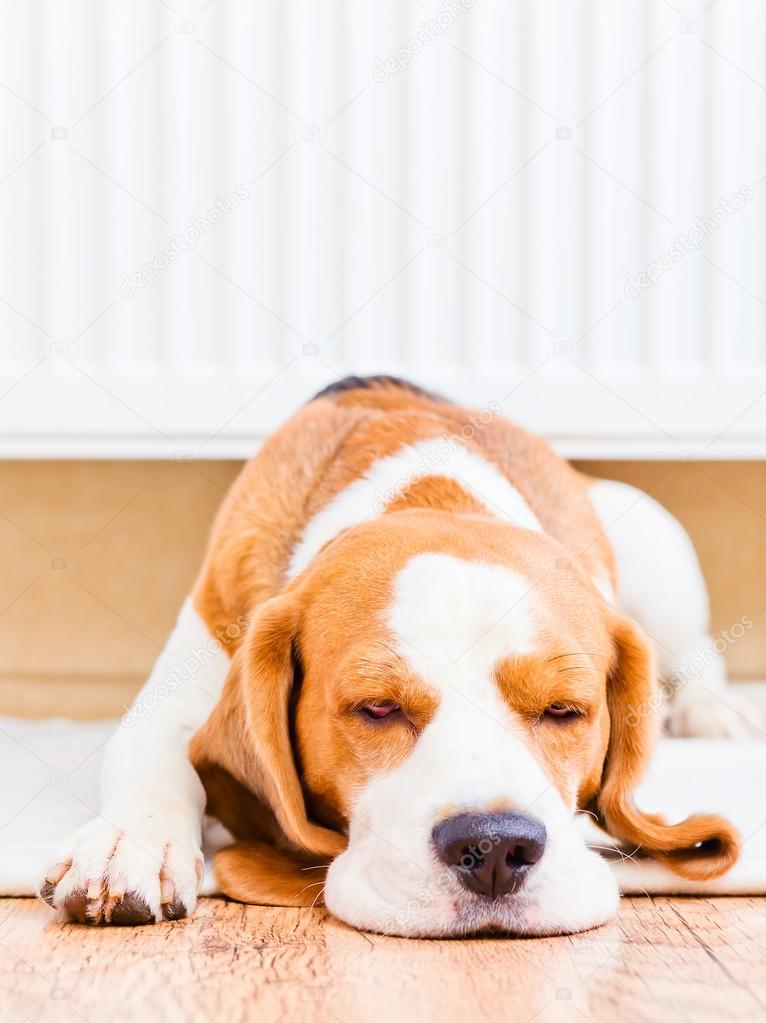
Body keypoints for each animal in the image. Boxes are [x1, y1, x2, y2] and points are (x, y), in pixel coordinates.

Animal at [38, 374, 744, 937]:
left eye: (564, 711)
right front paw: (130, 843)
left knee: (698, 654)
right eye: (376, 708)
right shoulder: (178, 691)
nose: (494, 849)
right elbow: (158, 764)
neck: (430, 495)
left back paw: (715, 713)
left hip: (652, 538)